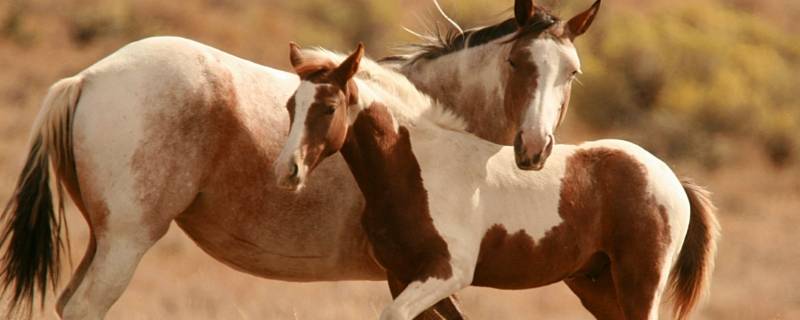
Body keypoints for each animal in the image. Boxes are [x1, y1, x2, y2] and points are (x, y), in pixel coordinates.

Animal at [1, 0, 600, 318]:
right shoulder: (415, 276)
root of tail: (87, 78)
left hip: (105, 240)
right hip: (125, 242)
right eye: (520, 62)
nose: (534, 150)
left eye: (571, 72)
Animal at [276, 42, 720, 320]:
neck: (417, 170)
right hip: (596, 285)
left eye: (328, 107)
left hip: (639, 283)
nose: (287, 170)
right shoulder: (402, 276)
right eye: (290, 105)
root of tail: (671, 177)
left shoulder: (447, 272)